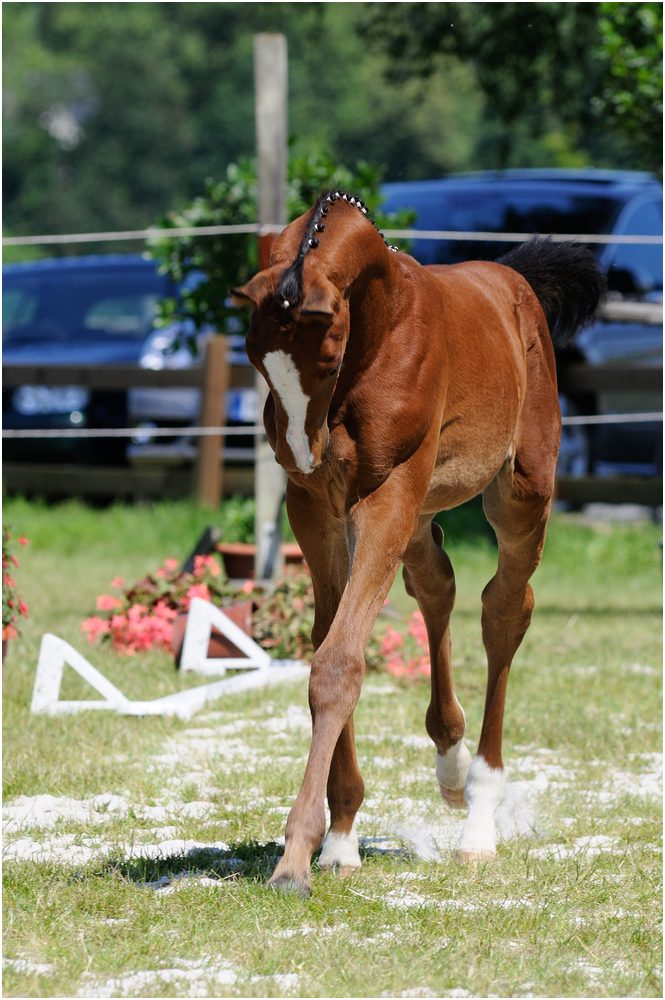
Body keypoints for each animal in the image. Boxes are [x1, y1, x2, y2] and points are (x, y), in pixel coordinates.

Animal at [231, 191, 604, 896]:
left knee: (504, 609)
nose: (302, 452)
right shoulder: (316, 507)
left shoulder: (386, 494)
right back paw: (449, 763)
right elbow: (330, 643)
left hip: (519, 495)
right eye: (257, 360)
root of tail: (510, 278)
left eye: (325, 354)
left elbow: (338, 663)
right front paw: (339, 841)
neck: (382, 325)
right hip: (418, 509)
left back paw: (479, 815)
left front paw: (296, 857)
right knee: (438, 585)